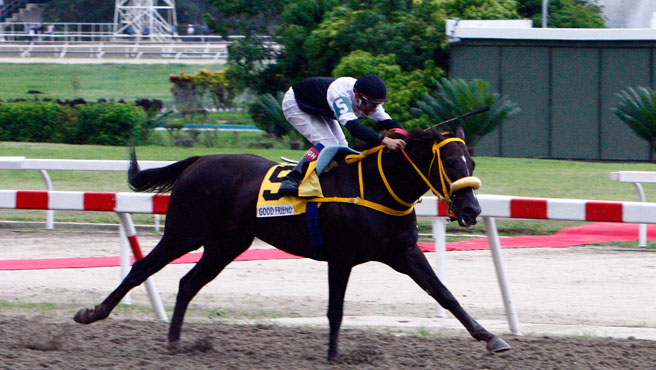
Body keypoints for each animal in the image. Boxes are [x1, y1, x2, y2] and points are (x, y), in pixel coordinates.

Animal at [73, 126, 512, 358]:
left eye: (472, 163)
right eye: (451, 163)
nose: (470, 210)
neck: (376, 187)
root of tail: (200, 161)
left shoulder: (402, 252)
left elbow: (445, 294)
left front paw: (490, 337)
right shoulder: (341, 257)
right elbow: (335, 309)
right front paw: (334, 355)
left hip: (227, 244)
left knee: (188, 283)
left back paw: (176, 340)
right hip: (184, 232)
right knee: (142, 268)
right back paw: (92, 313)